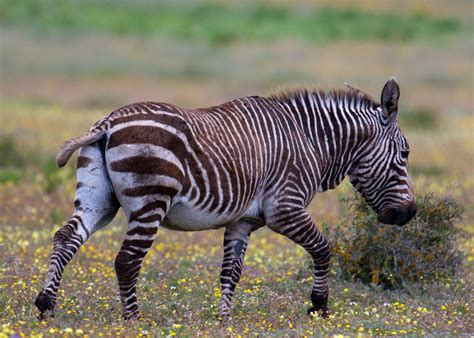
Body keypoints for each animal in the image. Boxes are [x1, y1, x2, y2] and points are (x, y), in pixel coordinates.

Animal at [35, 78, 416, 320]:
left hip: (98, 199)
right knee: (127, 260)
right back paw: (133, 319)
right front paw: (318, 306)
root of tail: (109, 122)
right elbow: (324, 248)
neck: (309, 141)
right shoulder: (285, 208)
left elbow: (230, 272)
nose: (409, 214)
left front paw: (225, 318)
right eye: (405, 154)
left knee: (66, 237)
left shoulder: (242, 221)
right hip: (150, 201)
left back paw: (45, 304)